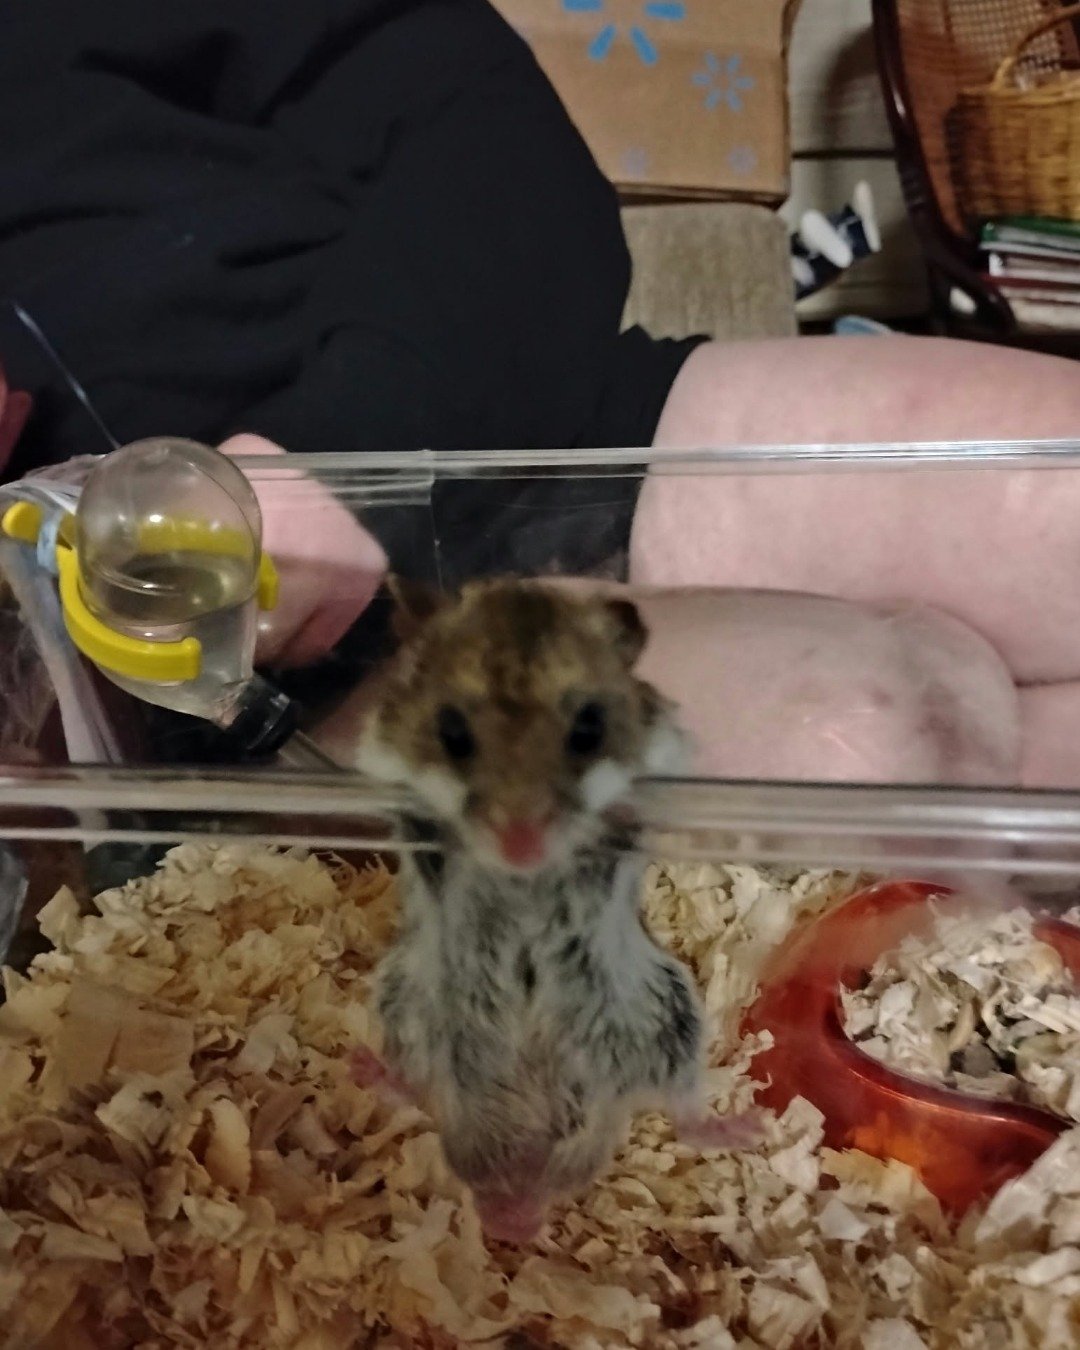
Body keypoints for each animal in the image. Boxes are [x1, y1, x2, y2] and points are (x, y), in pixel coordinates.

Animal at [351, 578, 763, 1243]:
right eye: (451, 732)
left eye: (589, 727)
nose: (521, 847)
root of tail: (528, 1181)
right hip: (406, 1006)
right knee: (417, 1090)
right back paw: (364, 1069)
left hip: (666, 1020)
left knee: (680, 1110)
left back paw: (745, 1128)